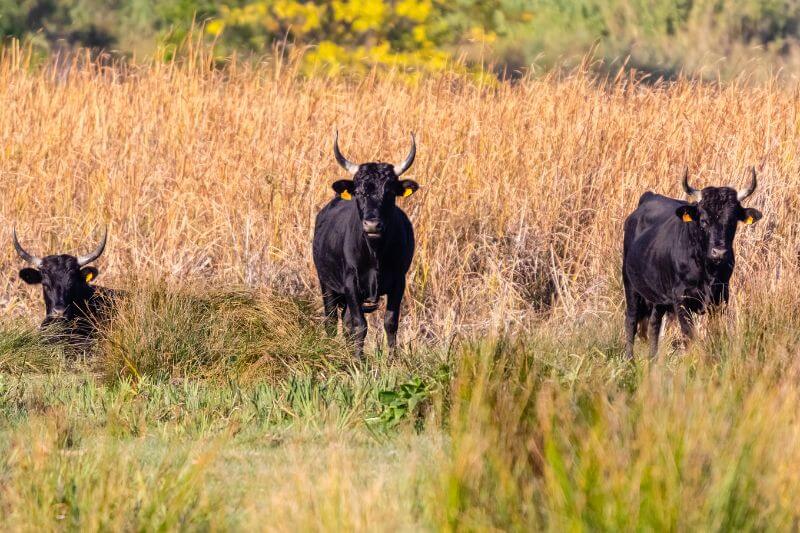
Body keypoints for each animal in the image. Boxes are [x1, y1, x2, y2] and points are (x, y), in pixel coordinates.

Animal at [314, 132, 422, 358]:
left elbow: (390, 323)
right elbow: (360, 324)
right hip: (326, 284)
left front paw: (392, 360)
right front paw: (358, 359)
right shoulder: (351, 283)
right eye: (359, 191)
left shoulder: (399, 281)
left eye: (389, 192)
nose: (372, 224)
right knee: (331, 321)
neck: (375, 254)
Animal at [620, 168, 764, 356]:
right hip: (630, 285)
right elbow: (689, 336)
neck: (708, 270)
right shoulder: (681, 300)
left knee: (653, 324)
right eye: (703, 221)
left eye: (732, 221)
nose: (719, 252)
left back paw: (653, 359)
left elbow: (716, 333)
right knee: (631, 320)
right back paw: (629, 360)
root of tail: (649, 197)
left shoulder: (721, 297)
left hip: (658, 297)